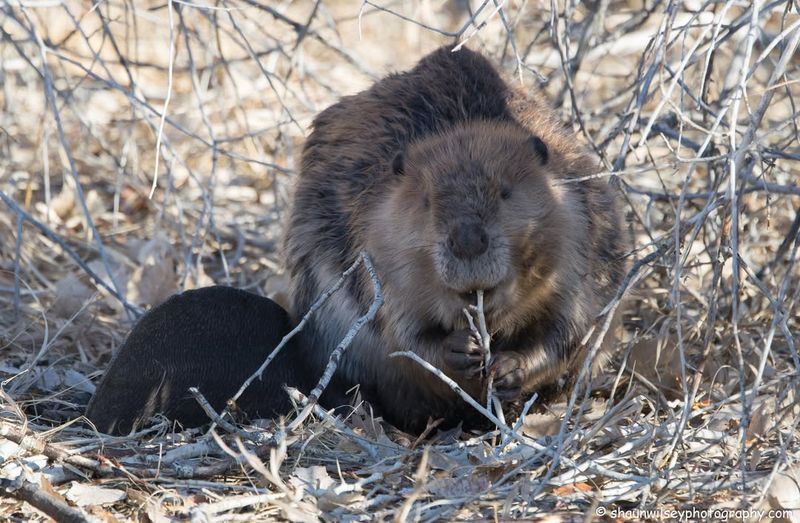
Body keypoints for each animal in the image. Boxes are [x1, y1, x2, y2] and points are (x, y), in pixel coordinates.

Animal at [86, 46, 624, 438]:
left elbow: (572, 328)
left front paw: (510, 367)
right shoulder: (367, 248)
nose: (468, 240)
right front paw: (460, 351)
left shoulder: (585, 242)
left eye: (508, 191)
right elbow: (402, 338)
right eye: (426, 200)